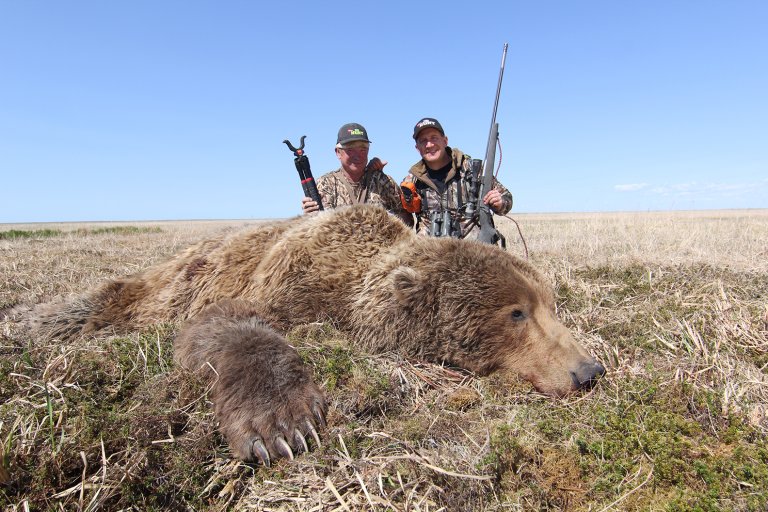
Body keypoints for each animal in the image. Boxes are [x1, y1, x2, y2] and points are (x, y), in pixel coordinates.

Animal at [32, 204, 605, 466]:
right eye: (516, 313)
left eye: (551, 305)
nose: (589, 370)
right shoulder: (282, 281)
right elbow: (227, 324)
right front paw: (282, 425)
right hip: (166, 282)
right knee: (107, 299)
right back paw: (38, 319)